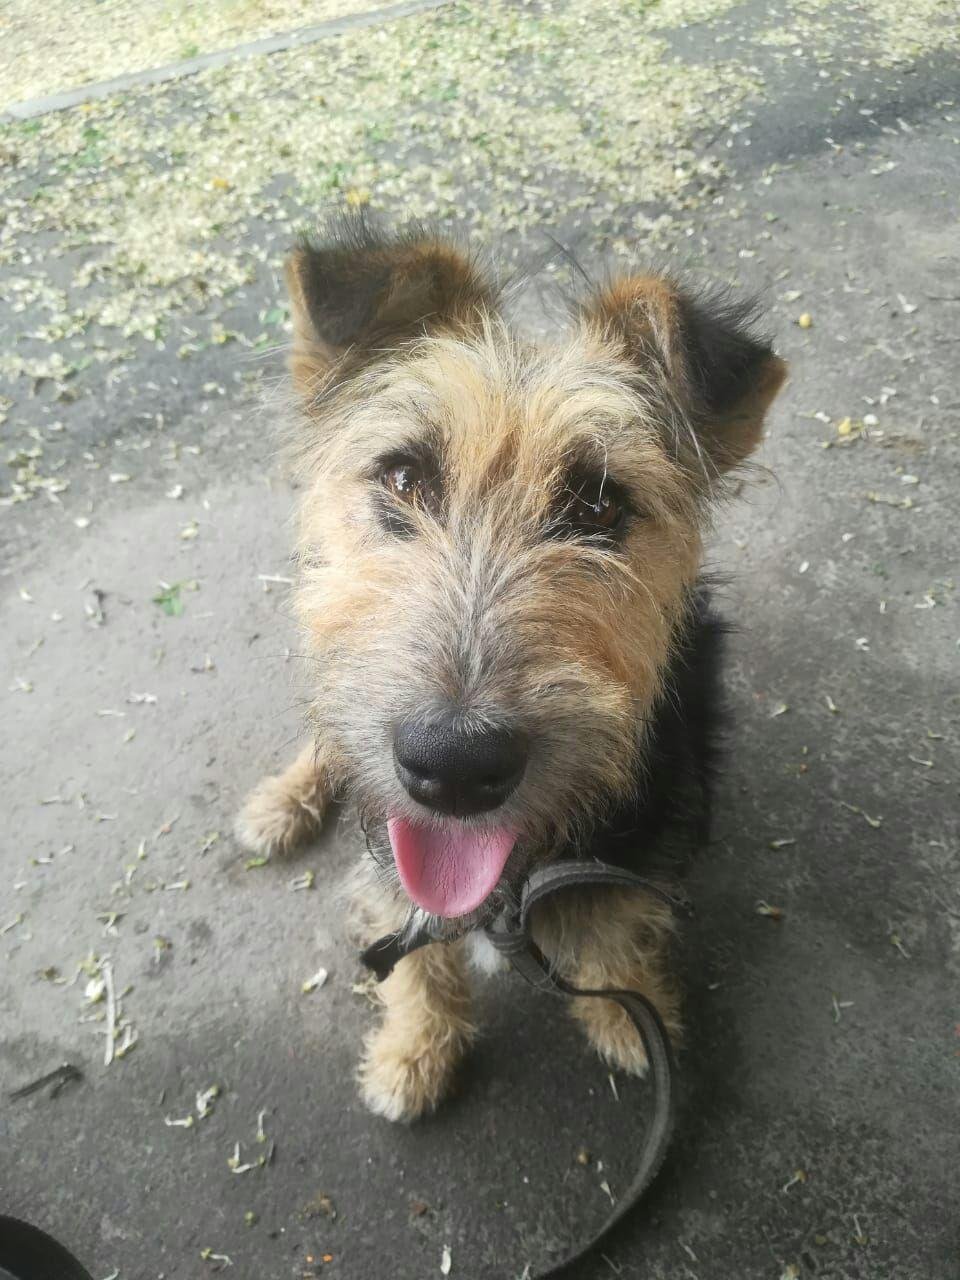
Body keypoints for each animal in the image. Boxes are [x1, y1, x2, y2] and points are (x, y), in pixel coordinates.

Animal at [236, 217, 783, 1121]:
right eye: (403, 477)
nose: (453, 766)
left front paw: (631, 1018)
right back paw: (282, 800)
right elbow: (412, 953)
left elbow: (612, 938)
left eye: (600, 505)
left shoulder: (633, 857)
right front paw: (415, 1050)